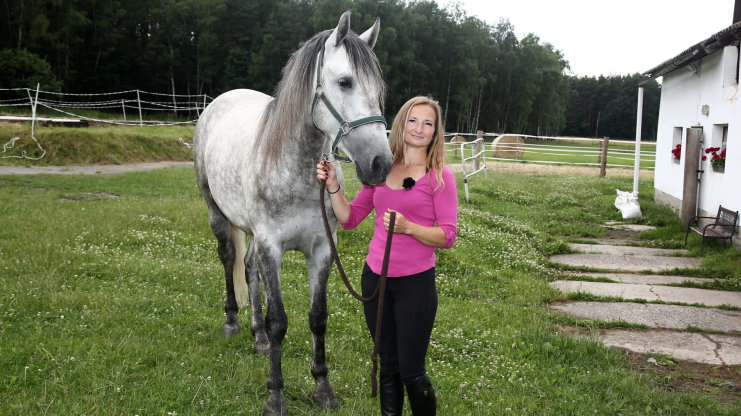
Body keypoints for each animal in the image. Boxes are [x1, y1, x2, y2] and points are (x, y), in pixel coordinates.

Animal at [192, 9, 394, 416]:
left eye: (379, 90)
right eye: (345, 82)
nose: (380, 164)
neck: (295, 168)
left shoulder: (321, 250)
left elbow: (317, 318)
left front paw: (323, 388)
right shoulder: (272, 246)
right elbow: (279, 321)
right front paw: (275, 395)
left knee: (248, 268)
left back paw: (256, 337)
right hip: (217, 212)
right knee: (229, 258)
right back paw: (233, 322)